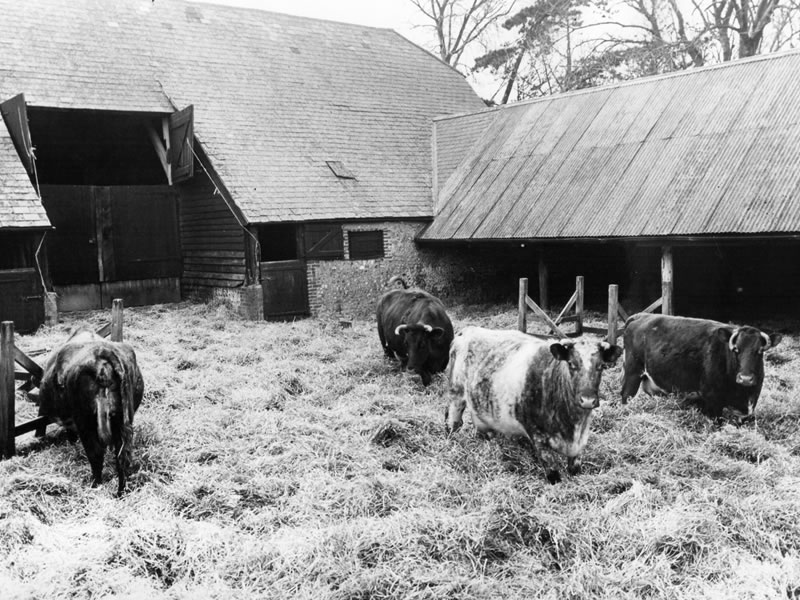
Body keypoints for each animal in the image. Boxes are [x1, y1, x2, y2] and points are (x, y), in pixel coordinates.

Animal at [38, 328, 145, 496]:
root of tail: (102, 353)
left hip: (85, 422)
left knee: (96, 454)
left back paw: (95, 485)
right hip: (122, 421)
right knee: (122, 455)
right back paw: (121, 492)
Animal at [444, 326, 624, 480]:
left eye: (601, 366)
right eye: (571, 364)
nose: (587, 400)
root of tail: (468, 329)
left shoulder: (579, 443)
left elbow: (575, 469)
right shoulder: (538, 437)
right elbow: (554, 474)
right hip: (455, 394)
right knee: (453, 421)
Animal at [620, 314, 780, 418]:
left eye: (759, 351)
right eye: (736, 350)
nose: (745, 378)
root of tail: (641, 315)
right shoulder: (712, 401)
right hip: (632, 372)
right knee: (625, 396)